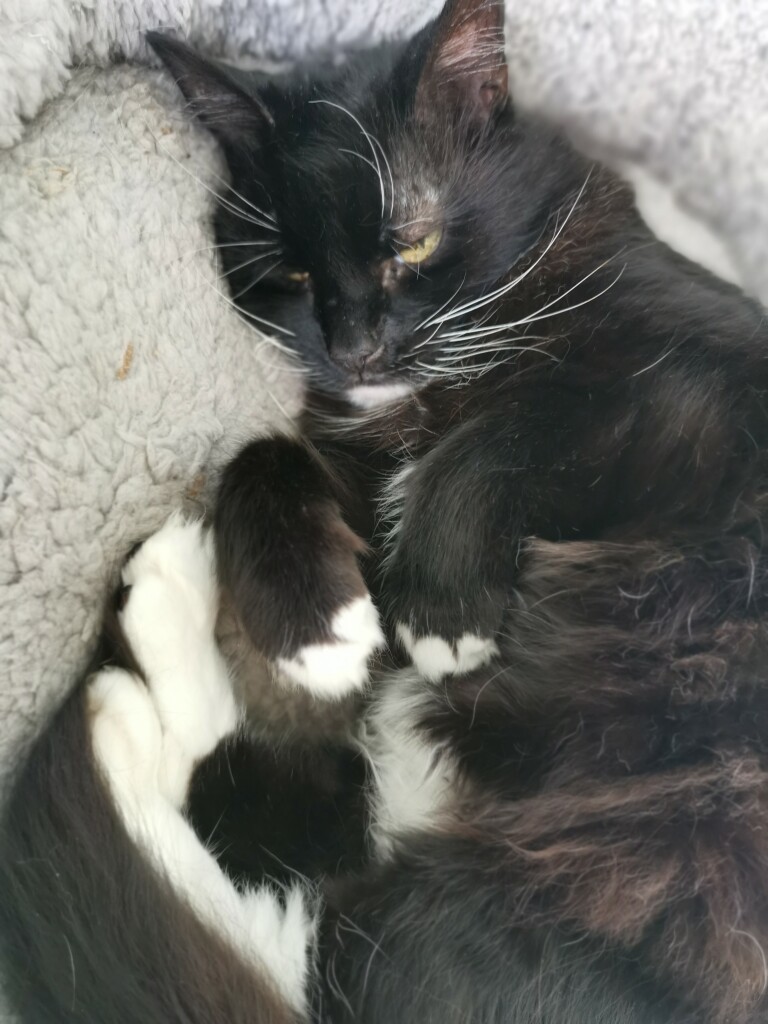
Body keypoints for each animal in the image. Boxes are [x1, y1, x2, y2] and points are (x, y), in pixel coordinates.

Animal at [1, 0, 768, 1019]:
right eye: (289, 273)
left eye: (412, 243)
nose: (355, 347)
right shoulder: (353, 476)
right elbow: (264, 453)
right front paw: (313, 628)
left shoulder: (713, 401)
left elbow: (521, 425)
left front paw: (441, 610)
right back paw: (158, 638)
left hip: (540, 891)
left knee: (300, 948)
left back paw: (142, 680)